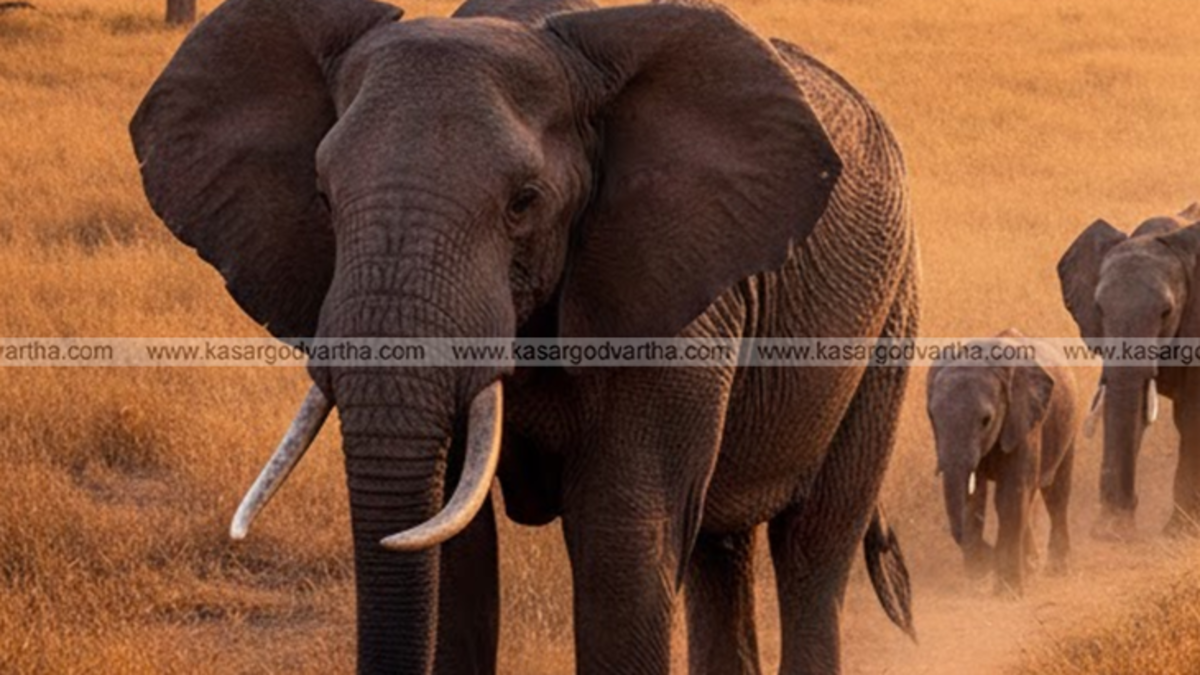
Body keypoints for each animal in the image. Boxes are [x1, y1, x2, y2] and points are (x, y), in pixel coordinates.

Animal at [129, 0, 920, 672]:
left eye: (524, 203)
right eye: (322, 197)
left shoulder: (674, 303)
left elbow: (622, 544)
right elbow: (458, 554)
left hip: (891, 316)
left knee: (813, 548)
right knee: (718, 551)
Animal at [926, 329, 1078, 595]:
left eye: (986, 420)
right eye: (932, 417)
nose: (989, 557)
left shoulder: (1023, 420)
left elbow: (1010, 495)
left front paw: (1007, 593)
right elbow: (973, 499)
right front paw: (978, 577)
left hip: (1069, 424)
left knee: (1056, 493)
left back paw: (1056, 570)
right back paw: (1031, 566)